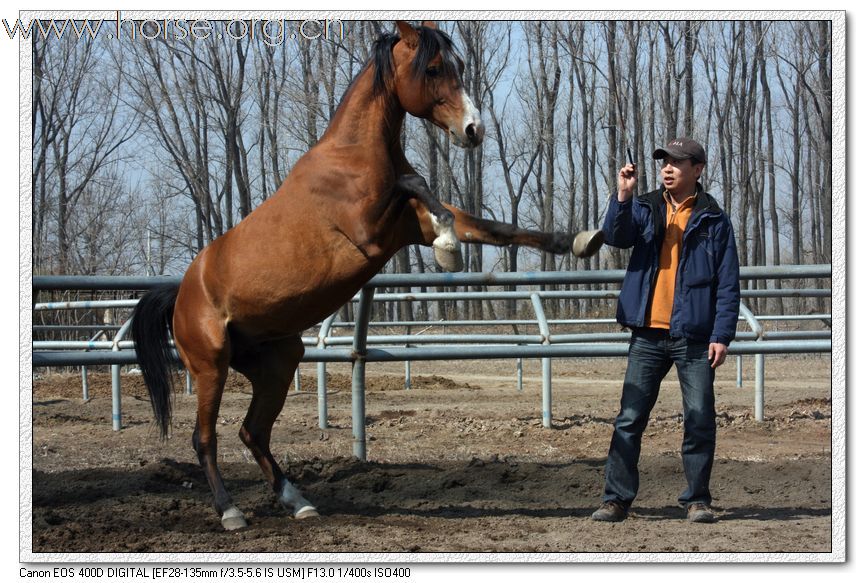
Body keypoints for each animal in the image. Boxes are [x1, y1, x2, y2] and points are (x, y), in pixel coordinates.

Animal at [130, 21, 600, 532]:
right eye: (434, 68)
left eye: (457, 66)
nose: (473, 131)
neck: (352, 157)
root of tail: (180, 294)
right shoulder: (370, 232)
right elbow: (417, 185)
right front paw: (448, 248)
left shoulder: (404, 229)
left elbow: (495, 226)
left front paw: (580, 241)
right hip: (211, 366)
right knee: (205, 439)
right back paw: (230, 511)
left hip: (278, 362)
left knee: (252, 432)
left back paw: (299, 502)